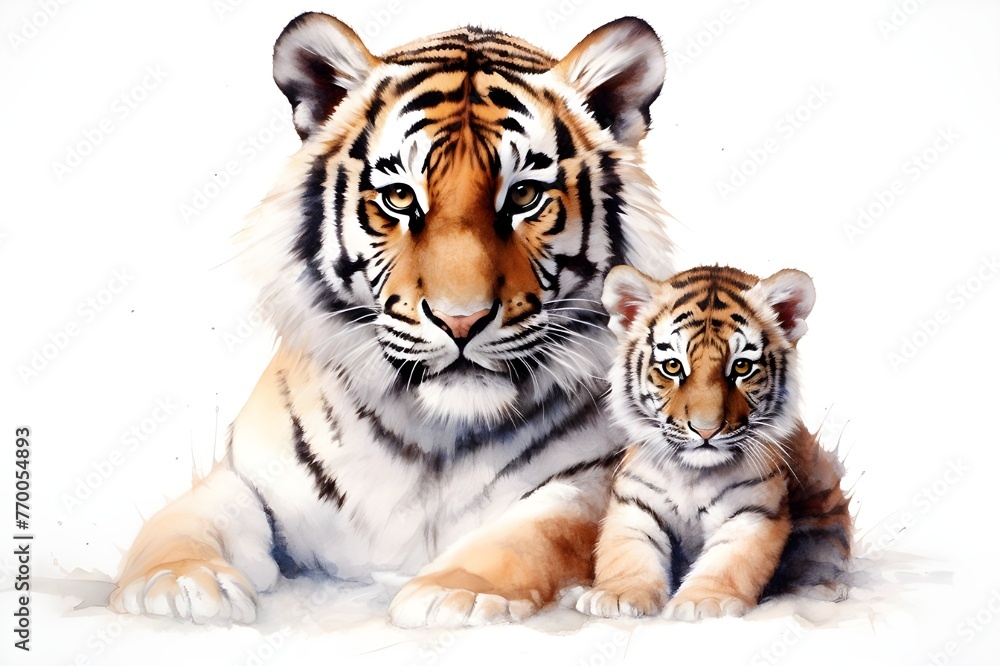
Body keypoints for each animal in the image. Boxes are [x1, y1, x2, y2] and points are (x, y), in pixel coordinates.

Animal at [108, 13, 673, 627]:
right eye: (400, 197)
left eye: (524, 195)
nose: (461, 320)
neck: (435, 440)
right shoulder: (247, 477)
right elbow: (185, 519)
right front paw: (178, 583)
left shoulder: (593, 481)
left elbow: (534, 534)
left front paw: (452, 592)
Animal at [575, 265, 852, 620]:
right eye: (673, 366)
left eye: (742, 366)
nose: (706, 430)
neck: (693, 475)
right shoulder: (634, 504)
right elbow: (627, 550)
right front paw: (618, 595)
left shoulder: (755, 511)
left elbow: (729, 561)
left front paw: (704, 601)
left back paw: (824, 588)